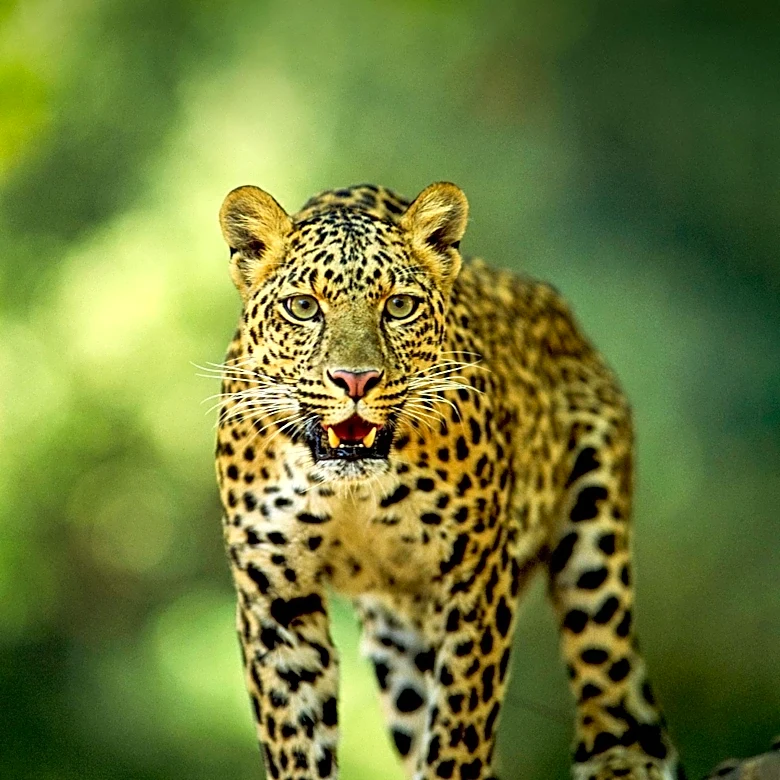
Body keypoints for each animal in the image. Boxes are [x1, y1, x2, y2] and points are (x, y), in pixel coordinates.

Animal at [212, 181, 682, 780]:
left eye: (399, 306)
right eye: (303, 307)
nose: (355, 380)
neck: (351, 491)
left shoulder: (477, 578)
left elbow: (461, 726)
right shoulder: (275, 597)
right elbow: (296, 740)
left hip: (594, 528)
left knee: (605, 650)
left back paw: (621, 759)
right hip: (400, 641)